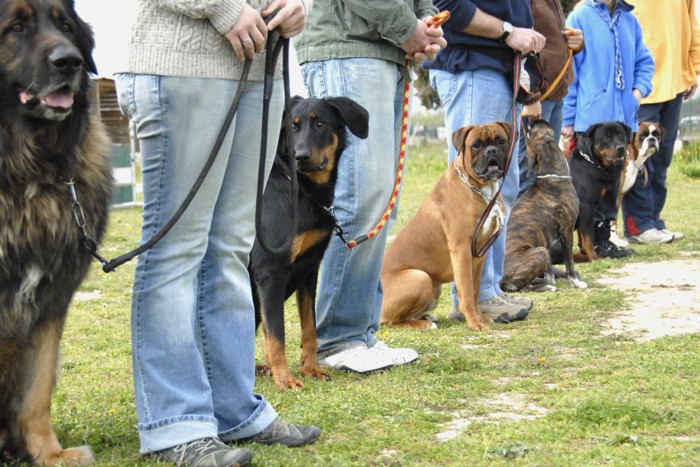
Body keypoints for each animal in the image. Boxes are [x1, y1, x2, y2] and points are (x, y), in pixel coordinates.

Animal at [250, 94, 372, 388]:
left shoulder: (309, 268)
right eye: (292, 127)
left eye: (319, 123)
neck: (302, 190)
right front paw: (285, 379)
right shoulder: (270, 272)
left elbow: (310, 328)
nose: (301, 157)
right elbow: (277, 334)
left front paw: (311, 368)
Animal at [380, 122, 512, 330]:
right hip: (420, 277)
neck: (480, 189)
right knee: (390, 321)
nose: (491, 150)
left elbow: (475, 291)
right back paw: (424, 324)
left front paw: (481, 318)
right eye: (476, 145)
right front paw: (474, 323)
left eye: (500, 141)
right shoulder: (461, 251)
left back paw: (426, 317)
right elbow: (467, 292)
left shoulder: (478, 256)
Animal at [500, 120, 588, 292]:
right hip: (539, 252)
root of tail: (498, 282)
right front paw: (575, 281)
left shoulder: (545, 240)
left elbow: (549, 269)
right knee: (522, 287)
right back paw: (547, 287)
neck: (551, 176)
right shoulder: (567, 230)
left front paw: (551, 278)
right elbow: (569, 262)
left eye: (528, 133)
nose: (531, 120)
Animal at [568, 122, 628, 262]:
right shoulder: (586, 208)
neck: (592, 163)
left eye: (621, 135)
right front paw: (594, 257)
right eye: (606, 137)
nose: (621, 148)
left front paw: (584, 255)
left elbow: (583, 236)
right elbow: (589, 237)